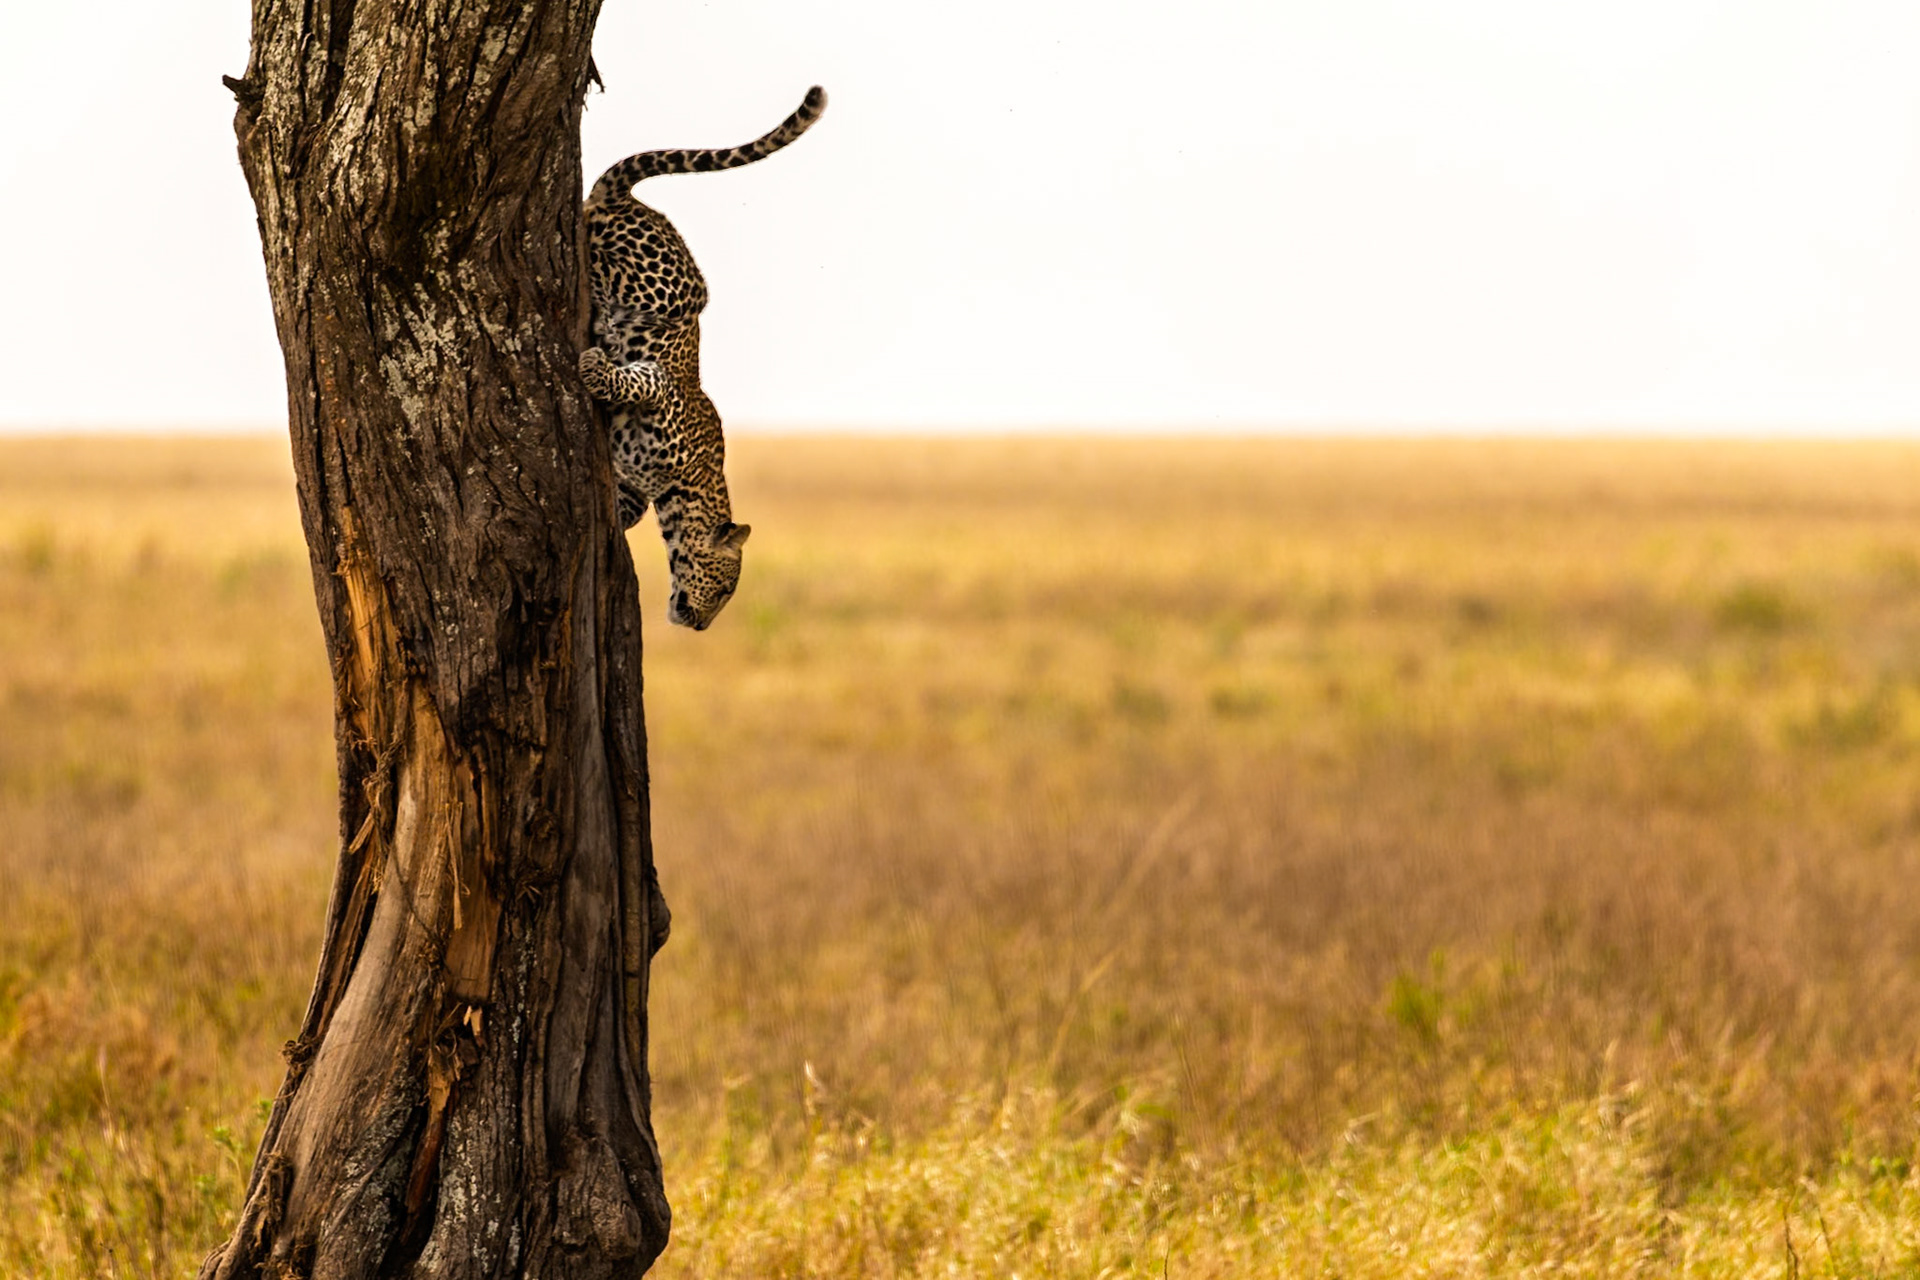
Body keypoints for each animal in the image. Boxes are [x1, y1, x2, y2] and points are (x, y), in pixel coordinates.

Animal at [579, 85, 827, 630]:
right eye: (727, 589)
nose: (701, 625)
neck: (682, 492)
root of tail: (633, 200)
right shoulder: (662, 388)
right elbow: (636, 379)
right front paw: (594, 366)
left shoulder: (633, 485)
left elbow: (626, 509)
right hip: (672, 292)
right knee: (596, 249)